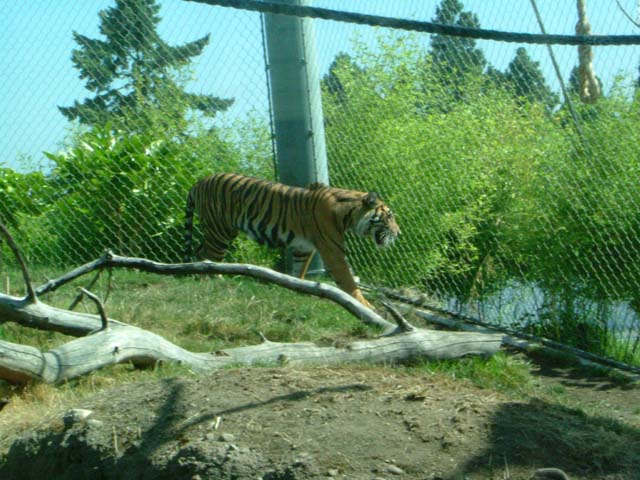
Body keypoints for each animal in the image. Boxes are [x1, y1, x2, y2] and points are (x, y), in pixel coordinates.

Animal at [183, 173, 400, 309]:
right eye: (389, 216)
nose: (398, 233)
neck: (349, 215)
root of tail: (200, 181)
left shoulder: (303, 247)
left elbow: (299, 271)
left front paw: (298, 288)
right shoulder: (332, 249)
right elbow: (348, 280)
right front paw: (367, 306)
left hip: (217, 231)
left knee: (200, 251)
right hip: (220, 231)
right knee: (207, 256)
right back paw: (210, 279)